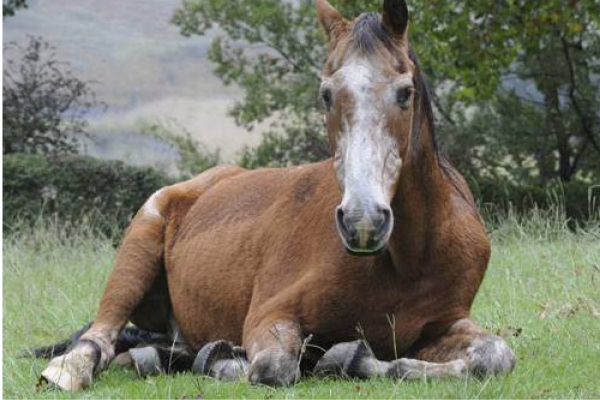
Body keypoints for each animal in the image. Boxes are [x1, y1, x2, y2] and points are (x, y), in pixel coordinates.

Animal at [30, 0, 512, 390]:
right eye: (326, 95)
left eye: (405, 92)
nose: (363, 222)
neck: (409, 259)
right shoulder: (271, 315)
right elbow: (274, 366)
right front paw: (237, 361)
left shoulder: (443, 325)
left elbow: (496, 355)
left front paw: (348, 358)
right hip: (137, 247)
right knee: (99, 336)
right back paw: (73, 370)